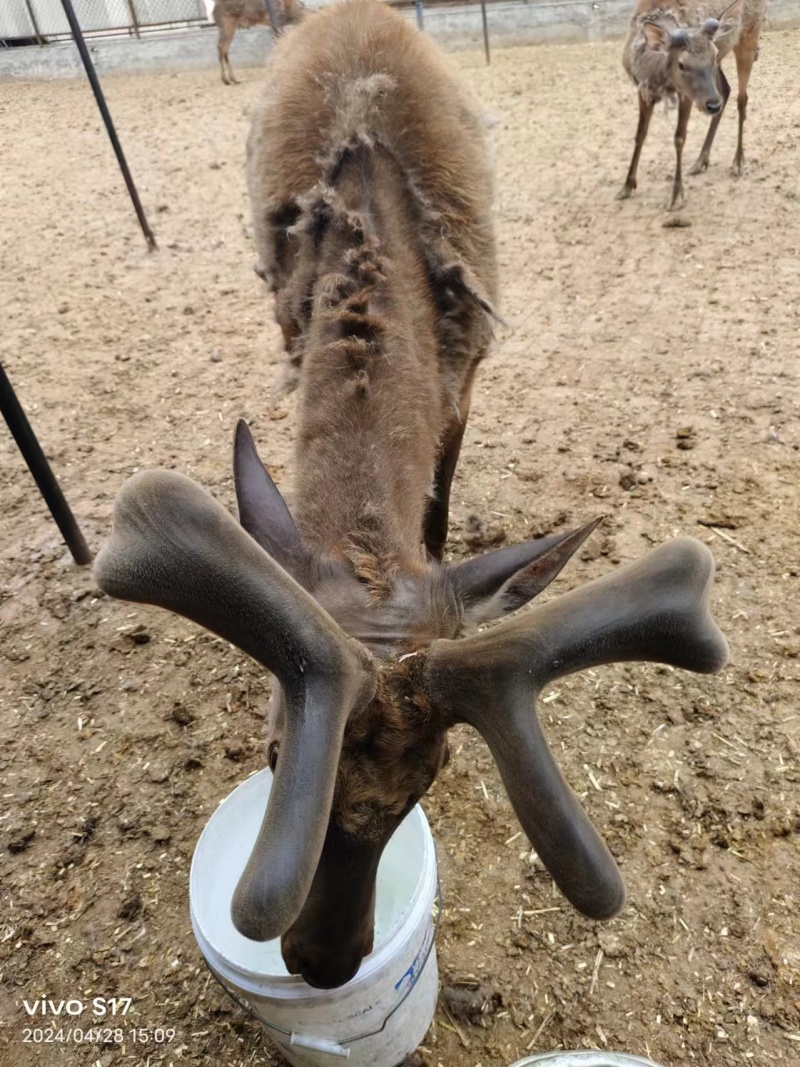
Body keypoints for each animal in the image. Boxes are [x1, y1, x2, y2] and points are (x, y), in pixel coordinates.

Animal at [617, 0, 766, 208]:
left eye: (713, 56)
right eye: (681, 64)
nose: (712, 105)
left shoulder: (686, 94)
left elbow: (679, 137)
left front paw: (676, 195)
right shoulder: (643, 89)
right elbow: (640, 134)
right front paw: (627, 186)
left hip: (749, 38)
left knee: (742, 98)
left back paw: (737, 162)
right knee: (726, 90)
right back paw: (700, 161)